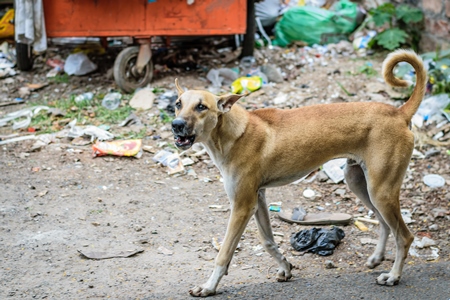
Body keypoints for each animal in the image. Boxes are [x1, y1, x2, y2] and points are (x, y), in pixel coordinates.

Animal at [171, 50, 426, 296]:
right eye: (177, 104)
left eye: (201, 107)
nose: (176, 125)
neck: (231, 134)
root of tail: (399, 113)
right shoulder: (258, 199)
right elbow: (268, 241)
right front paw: (285, 267)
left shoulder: (242, 206)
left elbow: (224, 253)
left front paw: (208, 286)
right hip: (359, 183)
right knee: (384, 224)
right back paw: (377, 258)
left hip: (381, 191)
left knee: (404, 236)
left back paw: (393, 276)